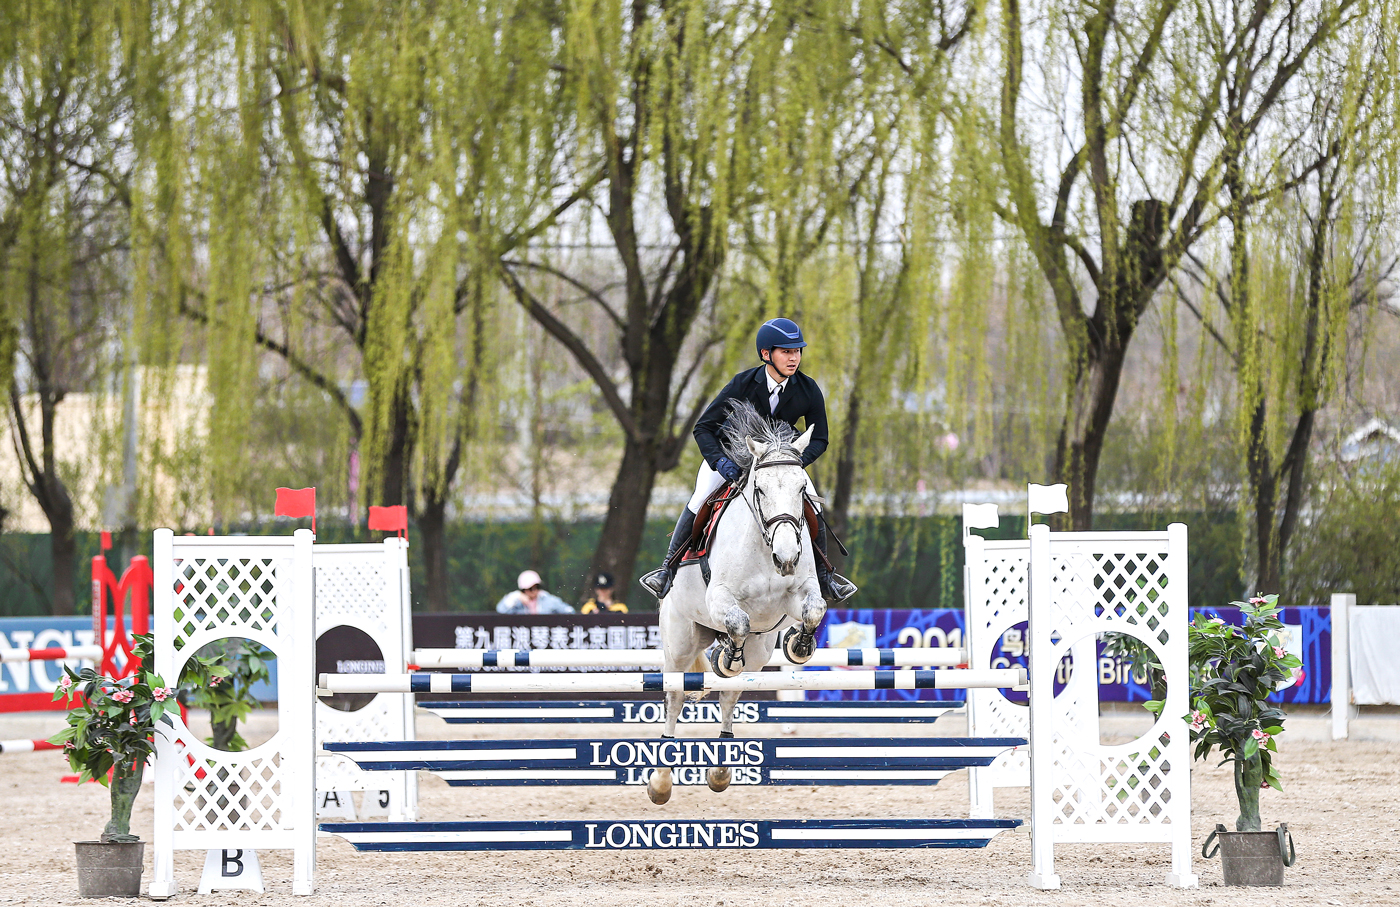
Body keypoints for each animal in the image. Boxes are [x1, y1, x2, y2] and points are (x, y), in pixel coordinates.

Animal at [646, 401, 826, 805]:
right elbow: (738, 620)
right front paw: (727, 656)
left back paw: (720, 770)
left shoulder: (796, 596)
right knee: (675, 698)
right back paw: (661, 782)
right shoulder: (720, 597)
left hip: (760, 650)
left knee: (730, 695)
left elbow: (813, 610)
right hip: (680, 641)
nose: (786, 557)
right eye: (759, 489)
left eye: (802, 489)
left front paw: (800, 646)